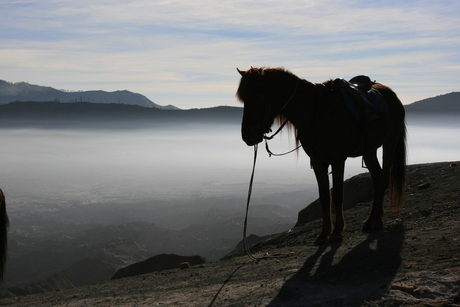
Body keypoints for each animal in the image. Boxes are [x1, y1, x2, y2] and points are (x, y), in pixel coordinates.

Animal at [237, 67, 406, 245]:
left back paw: (377, 221)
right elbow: (325, 197)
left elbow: (337, 195)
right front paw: (324, 233)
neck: (317, 113)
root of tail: (393, 96)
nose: (247, 136)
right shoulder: (318, 162)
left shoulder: (338, 160)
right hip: (369, 150)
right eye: (244, 99)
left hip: (390, 143)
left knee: (383, 179)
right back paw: (370, 220)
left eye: (257, 97)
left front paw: (337, 232)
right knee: (376, 178)